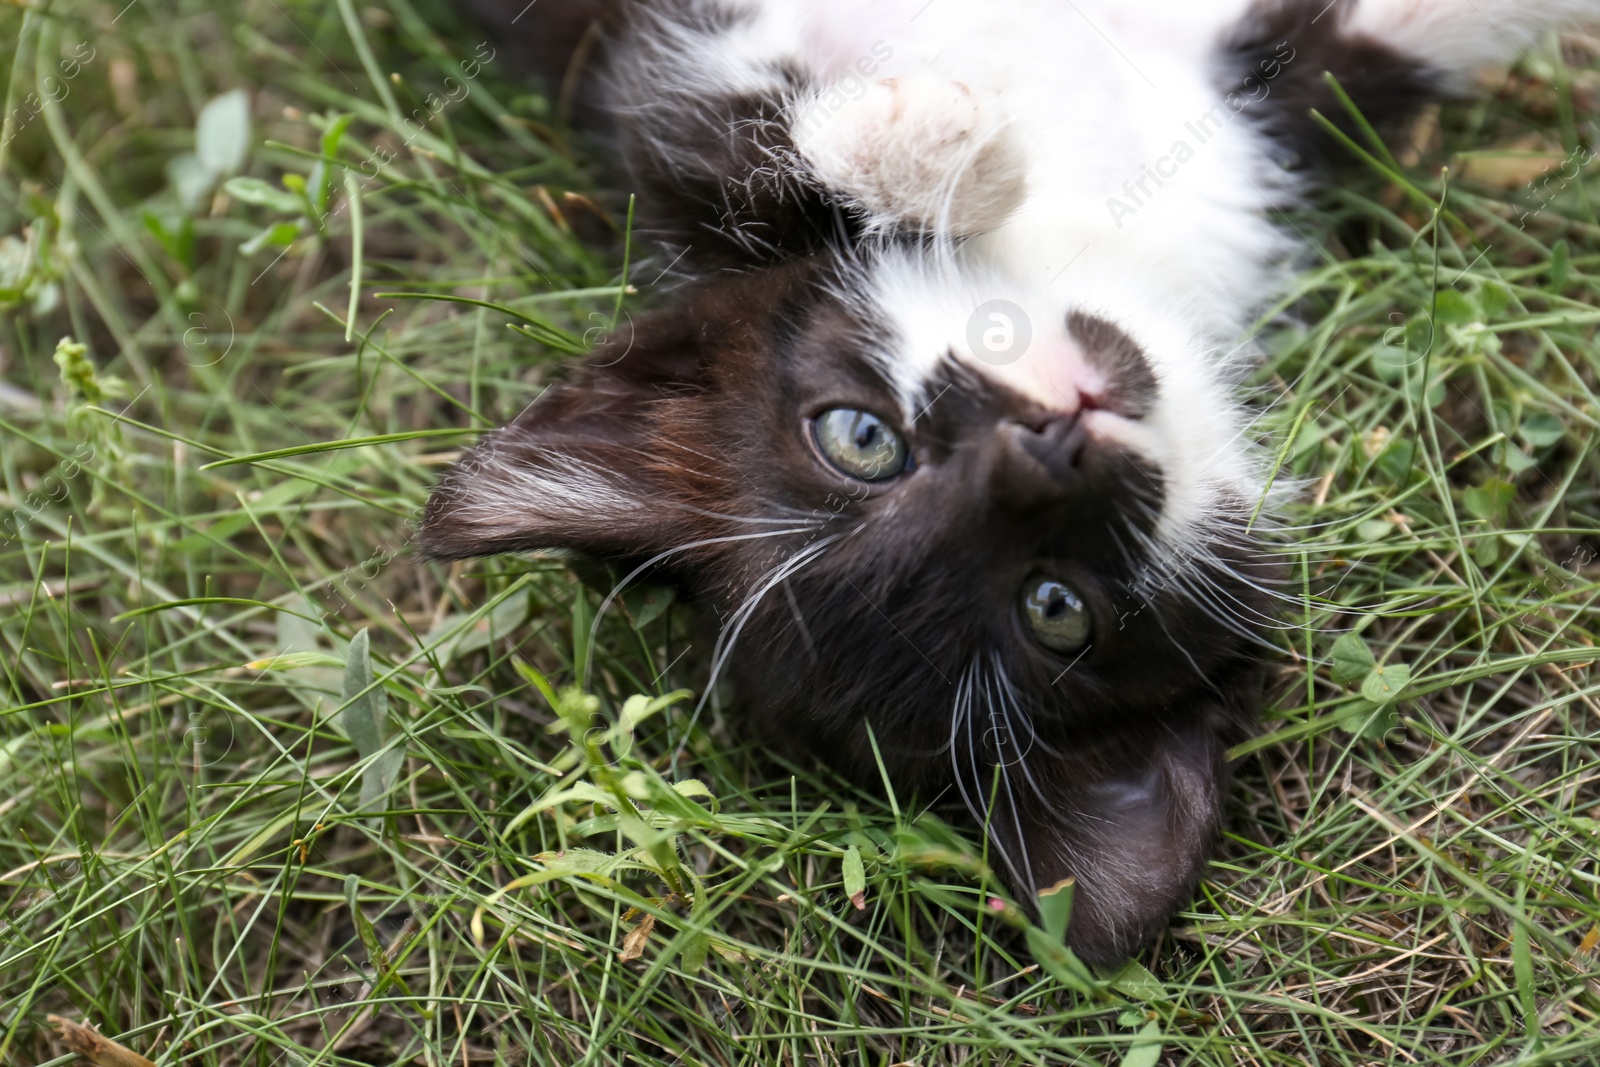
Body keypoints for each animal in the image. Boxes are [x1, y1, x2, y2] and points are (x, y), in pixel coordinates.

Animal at [425, 0, 1600, 966]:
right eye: (1054, 608)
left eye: (859, 438)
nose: (1045, 447)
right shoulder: (649, 67)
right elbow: (706, 122)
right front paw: (949, 134)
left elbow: (731, 149)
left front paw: (933, 137)